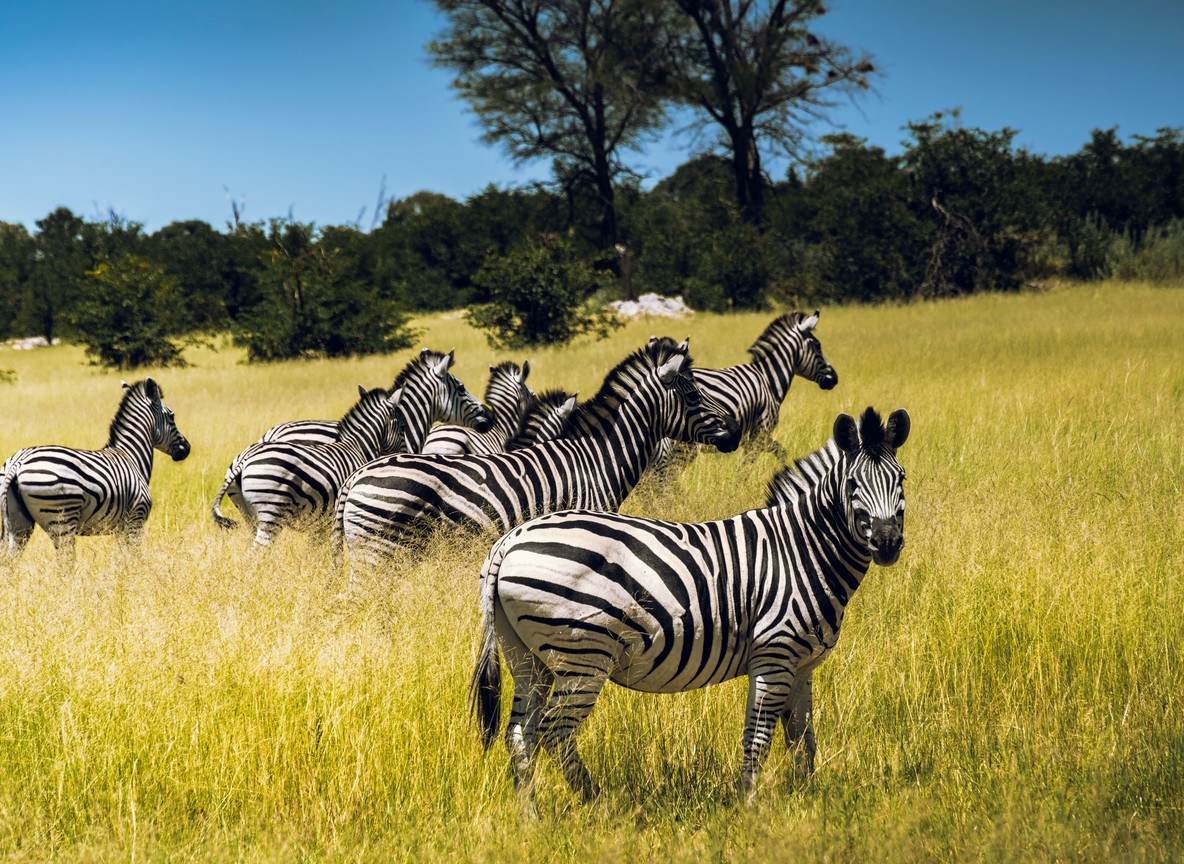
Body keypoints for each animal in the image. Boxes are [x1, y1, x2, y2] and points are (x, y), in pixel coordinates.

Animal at [1, 378, 191, 567]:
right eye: (172, 416)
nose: (187, 449)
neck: (131, 456)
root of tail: (18, 462)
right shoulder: (136, 519)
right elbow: (136, 558)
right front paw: (139, 574)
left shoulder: (120, 528)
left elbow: (126, 559)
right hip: (62, 519)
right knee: (65, 564)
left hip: (18, 522)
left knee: (9, 562)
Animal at [470, 406, 910, 805]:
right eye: (852, 484)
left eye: (901, 478)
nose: (887, 543)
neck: (802, 551)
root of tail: (509, 540)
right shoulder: (774, 652)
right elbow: (759, 737)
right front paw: (749, 806)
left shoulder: (803, 664)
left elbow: (802, 739)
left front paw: (807, 801)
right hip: (583, 657)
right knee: (555, 731)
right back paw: (598, 804)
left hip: (527, 658)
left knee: (521, 734)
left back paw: (530, 814)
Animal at [652, 310, 838, 469]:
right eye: (817, 346)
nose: (835, 379)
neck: (768, 379)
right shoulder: (760, 432)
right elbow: (746, 467)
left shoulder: (754, 437)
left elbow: (779, 452)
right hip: (686, 443)